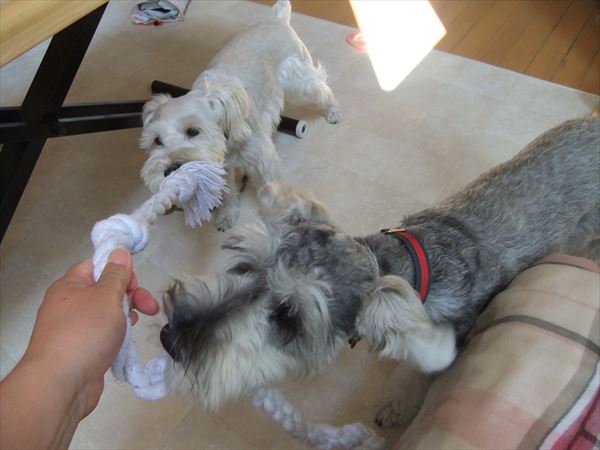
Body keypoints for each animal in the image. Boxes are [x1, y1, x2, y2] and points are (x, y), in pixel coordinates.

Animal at [139, 0, 340, 231]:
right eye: (157, 141)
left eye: (193, 131)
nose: (170, 171)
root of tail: (279, 20)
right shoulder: (224, 170)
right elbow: (228, 194)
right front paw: (227, 216)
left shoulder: (265, 162)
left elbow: (272, 193)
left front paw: (275, 222)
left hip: (300, 76)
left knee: (322, 89)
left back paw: (333, 112)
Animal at [159, 117, 600, 422]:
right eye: (246, 267)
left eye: (289, 318)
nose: (169, 338)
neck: (407, 261)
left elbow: (415, 371)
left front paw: (397, 402)